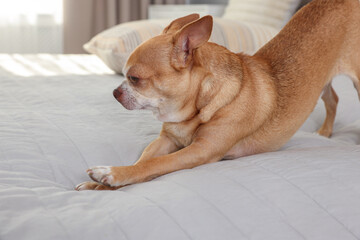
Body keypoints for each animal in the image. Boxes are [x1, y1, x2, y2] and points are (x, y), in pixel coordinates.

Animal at [74, 0, 358, 191]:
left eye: (135, 79)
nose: (114, 92)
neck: (194, 108)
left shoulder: (200, 151)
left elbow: (153, 165)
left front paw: (111, 175)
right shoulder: (165, 140)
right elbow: (143, 159)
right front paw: (98, 186)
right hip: (323, 82)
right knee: (333, 99)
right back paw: (325, 132)